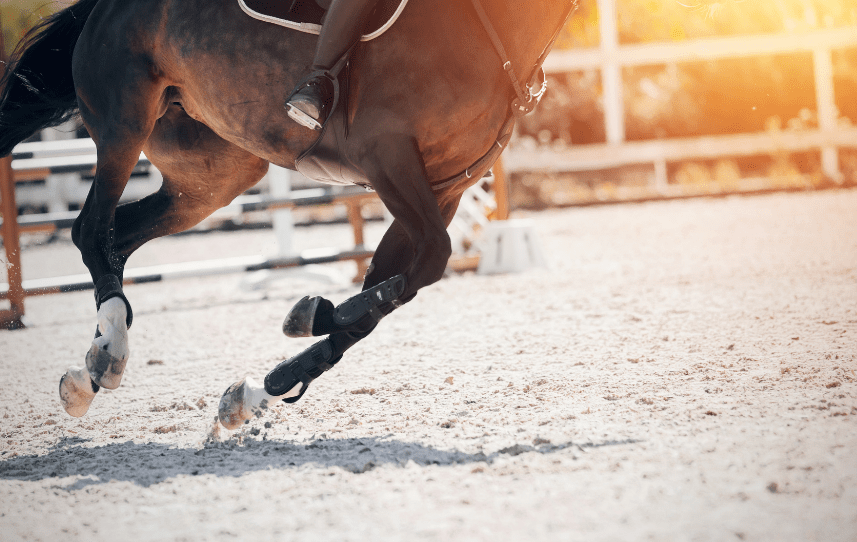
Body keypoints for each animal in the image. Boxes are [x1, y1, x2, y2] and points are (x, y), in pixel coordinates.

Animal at [0, 0, 574, 429]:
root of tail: (102, 6)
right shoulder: (389, 155)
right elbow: (422, 264)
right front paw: (321, 314)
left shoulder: (444, 188)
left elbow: (398, 283)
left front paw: (270, 381)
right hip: (125, 122)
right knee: (91, 231)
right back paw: (107, 353)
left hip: (214, 175)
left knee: (119, 237)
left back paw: (94, 366)